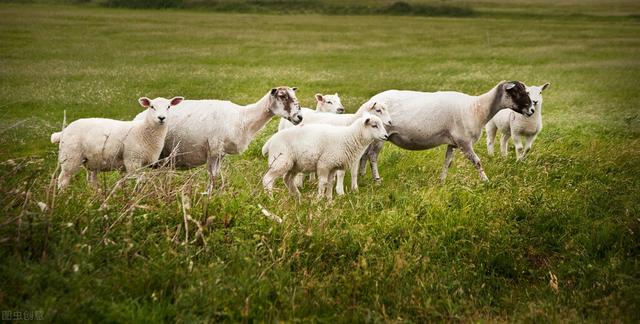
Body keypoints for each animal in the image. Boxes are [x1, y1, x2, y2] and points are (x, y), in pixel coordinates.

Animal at [51, 96, 184, 190]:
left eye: (169, 107)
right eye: (152, 106)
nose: (161, 118)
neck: (143, 130)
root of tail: (63, 131)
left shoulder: (142, 163)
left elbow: (128, 181)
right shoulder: (132, 160)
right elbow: (138, 180)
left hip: (92, 160)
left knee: (92, 181)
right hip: (70, 157)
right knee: (63, 179)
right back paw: (63, 195)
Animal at [133, 86, 302, 194]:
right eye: (282, 96)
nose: (299, 117)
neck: (242, 118)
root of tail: (137, 117)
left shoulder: (221, 152)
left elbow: (216, 174)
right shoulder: (213, 149)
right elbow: (212, 175)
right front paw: (208, 195)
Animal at [262, 114, 390, 200]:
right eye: (374, 125)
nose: (386, 136)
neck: (349, 137)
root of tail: (270, 141)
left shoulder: (333, 166)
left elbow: (330, 183)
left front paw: (329, 200)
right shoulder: (324, 164)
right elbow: (323, 182)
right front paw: (319, 199)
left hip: (293, 165)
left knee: (287, 179)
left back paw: (297, 196)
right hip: (280, 161)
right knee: (267, 179)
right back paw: (271, 198)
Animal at [358, 80, 532, 182]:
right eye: (516, 92)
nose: (531, 110)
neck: (477, 108)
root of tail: (368, 103)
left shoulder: (453, 143)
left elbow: (447, 163)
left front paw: (442, 182)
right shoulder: (464, 142)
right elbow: (477, 162)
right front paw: (486, 181)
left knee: (364, 154)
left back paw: (362, 175)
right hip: (380, 135)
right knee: (372, 155)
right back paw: (377, 180)